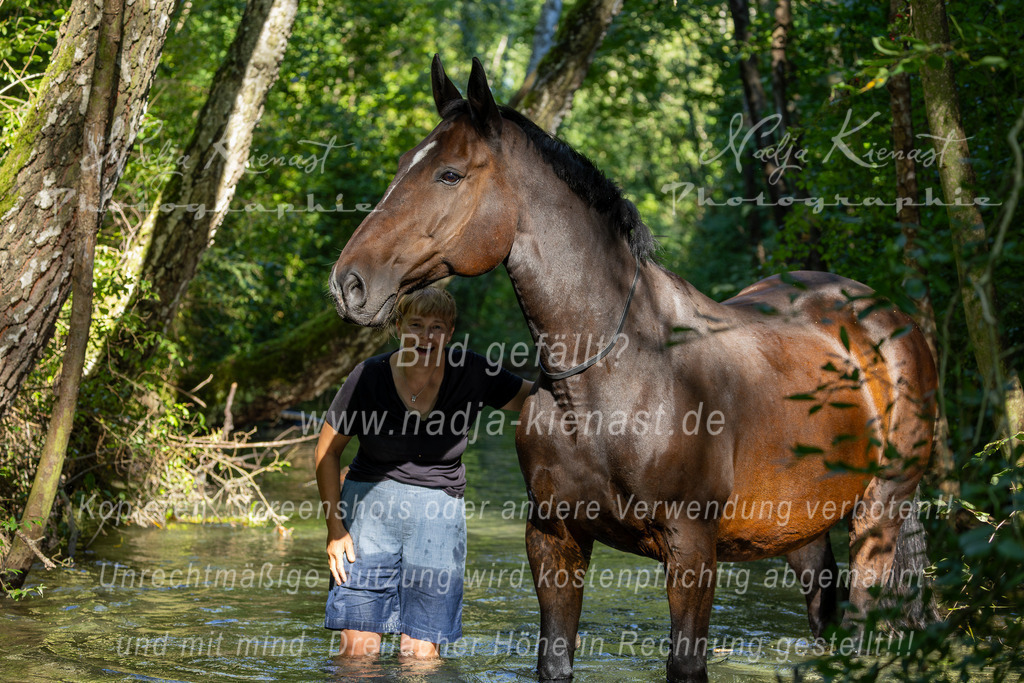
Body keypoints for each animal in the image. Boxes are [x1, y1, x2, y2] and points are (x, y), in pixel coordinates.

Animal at [329, 56, 937, 682]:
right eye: (404, 164)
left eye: (449, 174)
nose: (349, 283)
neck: (612, 379)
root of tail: (888, 318)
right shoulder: (553, 537)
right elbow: (554, 660)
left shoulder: (691, 546)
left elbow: (686, 662)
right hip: (800, 527)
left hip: (878, 513)